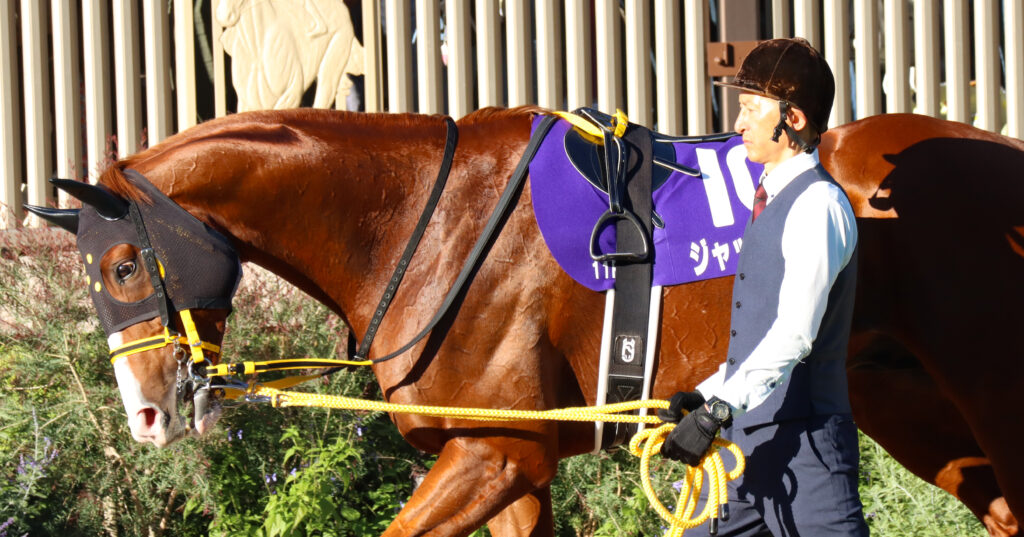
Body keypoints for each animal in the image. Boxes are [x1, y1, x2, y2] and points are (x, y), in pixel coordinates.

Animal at [29, 106, 1024, 536]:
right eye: (92, 275)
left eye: (123, 265)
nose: (146, 413)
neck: (425, 217)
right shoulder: (507, 465)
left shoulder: (497, 450)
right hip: (913, 411)